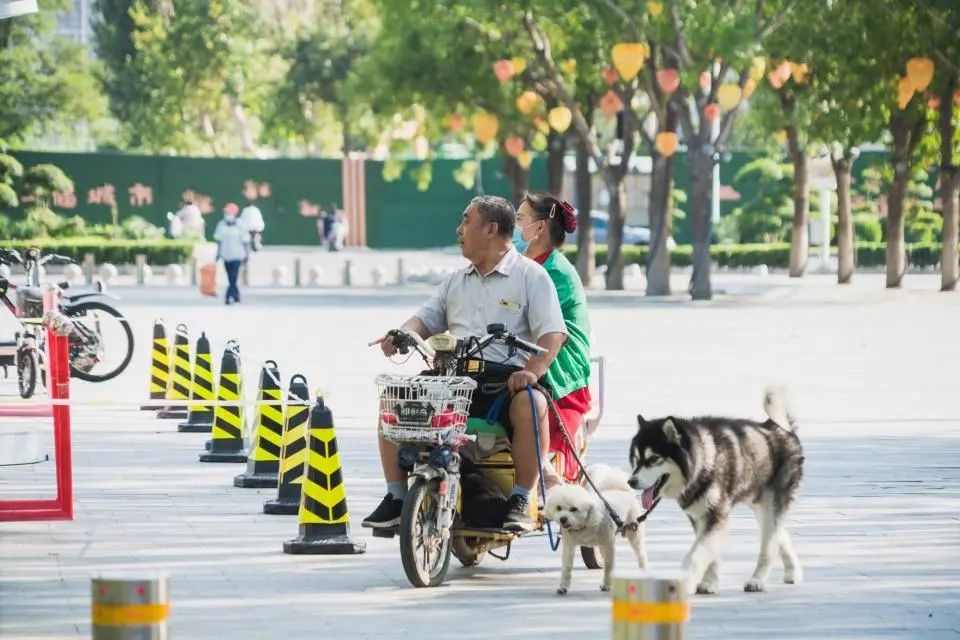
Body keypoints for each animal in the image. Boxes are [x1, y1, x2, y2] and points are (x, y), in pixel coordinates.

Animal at [544, 464, 648, 596]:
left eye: (574, 509)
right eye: (558, 508)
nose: (563, 519)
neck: (584, 525)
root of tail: (622, 490)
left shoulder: (609, 545)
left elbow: (609, 566)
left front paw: (607, 585)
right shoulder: (569, 545)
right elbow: (567, 566)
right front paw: (563, 587)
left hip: (633, 531)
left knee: (640, 552)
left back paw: (643, 570)